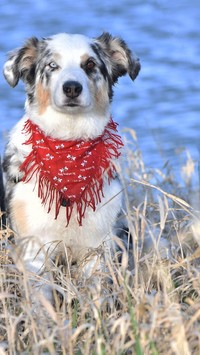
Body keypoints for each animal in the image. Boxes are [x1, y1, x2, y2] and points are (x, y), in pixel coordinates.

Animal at [2, 32, 140, 302]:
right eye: (52, 65)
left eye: (90, 64)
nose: (72, 88)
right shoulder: (34, 246)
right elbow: (42, 299)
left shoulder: (98, 245)